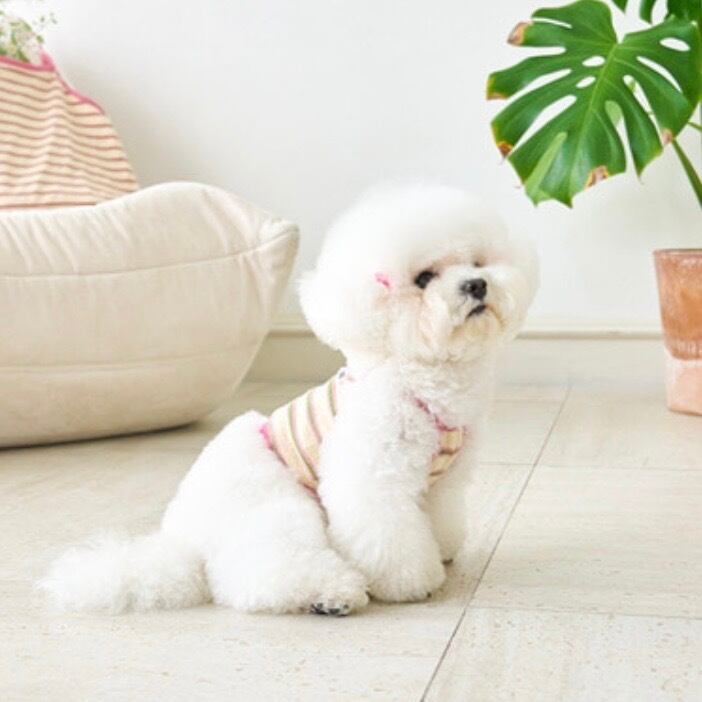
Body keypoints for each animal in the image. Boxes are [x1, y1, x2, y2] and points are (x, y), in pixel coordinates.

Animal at [40, 184, 538, 616]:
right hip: (279, 508)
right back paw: (331, 595)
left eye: (477, 261)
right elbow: (386, 537)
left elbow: (439, 516)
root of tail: (183, 545)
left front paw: (444, 549)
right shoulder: (373, 477)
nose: (477, 285)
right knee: (258, 576)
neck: (420, 378)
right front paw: (411, 582)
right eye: (424, 278)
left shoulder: (442, 483)